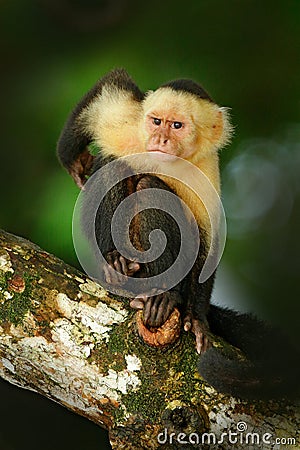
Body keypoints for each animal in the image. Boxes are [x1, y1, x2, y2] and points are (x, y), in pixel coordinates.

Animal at [56, 68, 300, 400]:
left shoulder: (206, 171)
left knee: (149, 187)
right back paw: (116, 264)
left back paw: (164, 297)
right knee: (116, 165)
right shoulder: (129, 125)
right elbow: (111, 88)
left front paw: (195, 318)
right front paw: (72, 157)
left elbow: (209, 242)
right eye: (157, 121)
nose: (160, 138)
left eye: (177, 126)